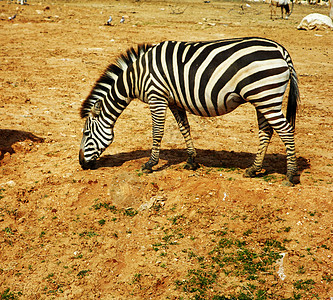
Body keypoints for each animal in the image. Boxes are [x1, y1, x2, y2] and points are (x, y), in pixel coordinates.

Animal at [79, 37, 300, 185]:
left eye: (86, 133)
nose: (81, 163)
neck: (136, 76)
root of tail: (280, 49)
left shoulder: (156, 96)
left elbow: (157, 132)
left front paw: (150, 164)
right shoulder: (174, 101)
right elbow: (184, 128)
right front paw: (192, 161)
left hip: (266, 95)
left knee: (286, 130)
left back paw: (290, 175)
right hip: (262, 98)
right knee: (267, 131)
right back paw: (253, 169)